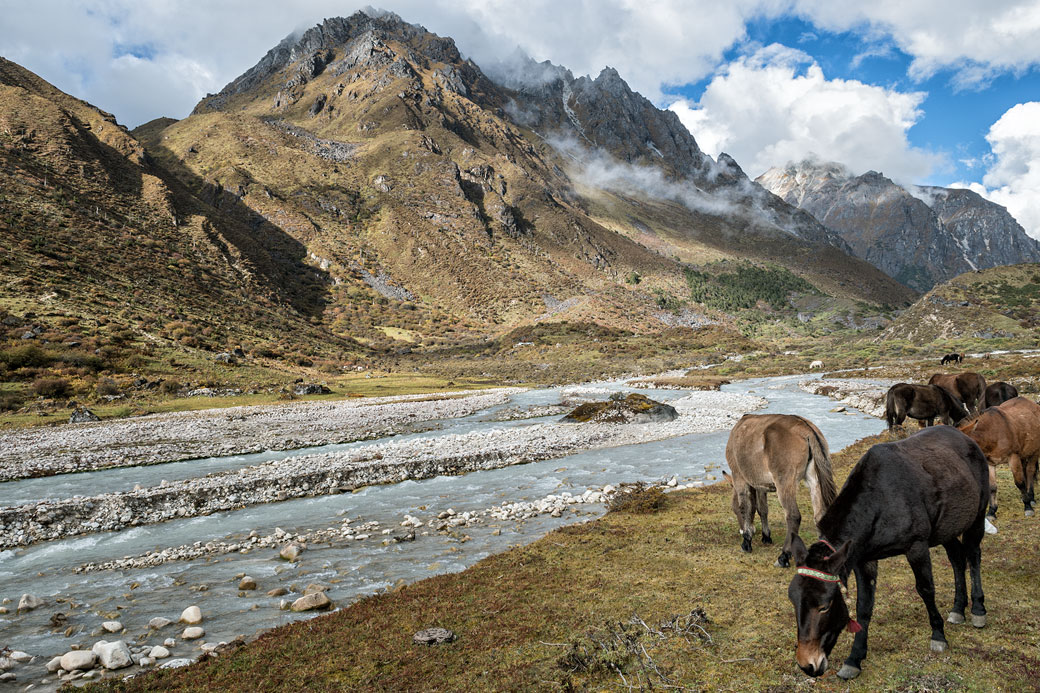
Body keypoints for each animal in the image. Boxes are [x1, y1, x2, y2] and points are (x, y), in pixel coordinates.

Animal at [728, 412, 840, 566]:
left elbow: (745, 507)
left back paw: (783, 556)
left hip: (785, 483)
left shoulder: (739, 477)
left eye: (734, 510)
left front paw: (746, 540)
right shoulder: (760, 485)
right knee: (819, 514)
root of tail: (805, 429)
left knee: (793, 516)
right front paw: (766, 536)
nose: (741, 531)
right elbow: (762, 509)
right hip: (814, 480)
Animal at [786, 424, 990, 678]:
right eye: (793, 601)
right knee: (957, 558)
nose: (807, 664)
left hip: (976, 518)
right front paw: (854, 659)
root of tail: (967, 437)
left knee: (973, 555)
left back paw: (978, 609)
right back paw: (958, 608)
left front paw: (938, 635)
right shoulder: (863, 559)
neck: (879, 501)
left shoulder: (917, 546)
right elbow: (864, 607)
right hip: (947, 529)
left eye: (824, 606)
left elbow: (926, 589)